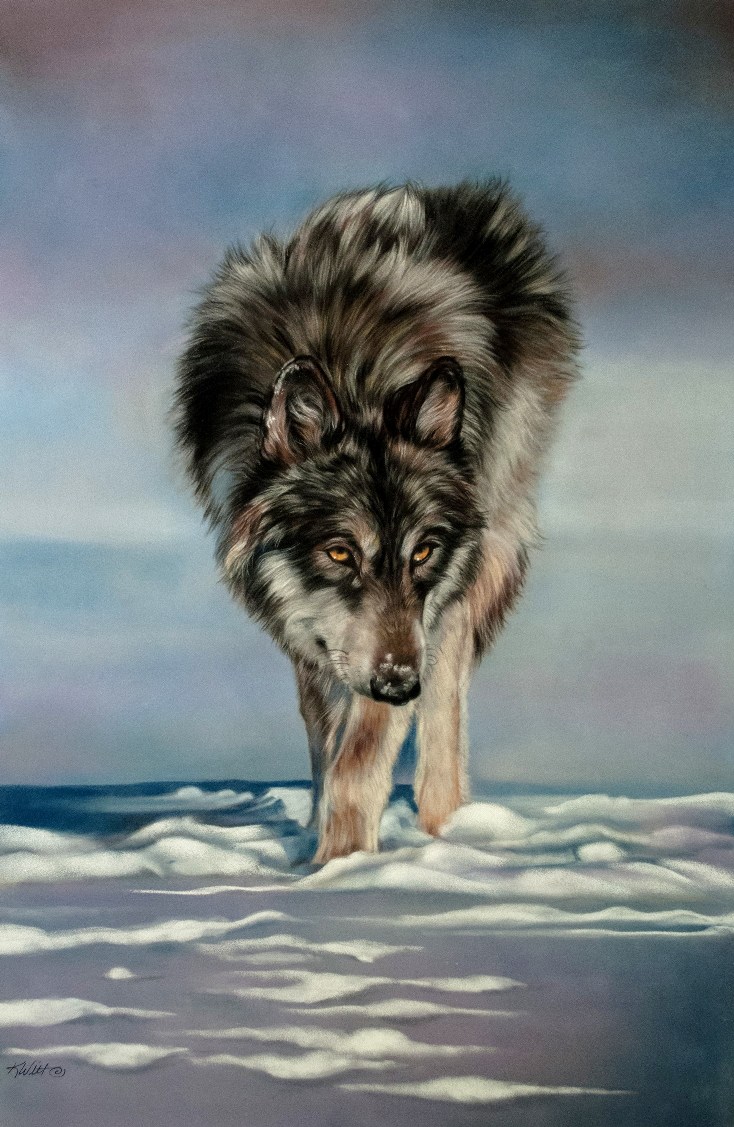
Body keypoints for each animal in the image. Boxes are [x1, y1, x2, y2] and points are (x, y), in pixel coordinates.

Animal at [173, 181, 580, 863]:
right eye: (340, 553)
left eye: (422, 552)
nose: (396, 685)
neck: (354, 372)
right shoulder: (315, 633)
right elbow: (325, 748)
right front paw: (318, 851)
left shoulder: (412, 630)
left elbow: (358, 761)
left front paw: (342, 868)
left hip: (477, 557)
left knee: (445, 705)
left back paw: (448, 833)